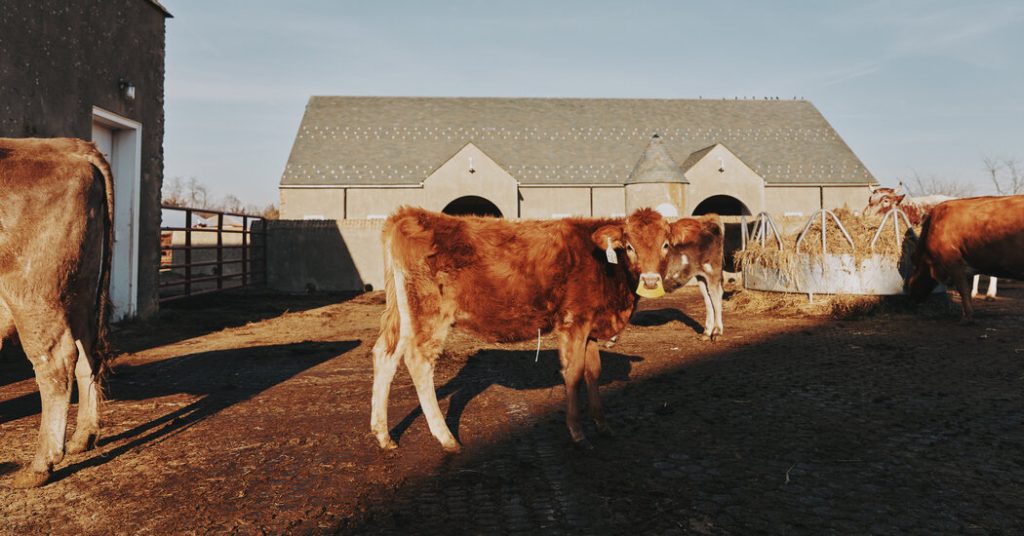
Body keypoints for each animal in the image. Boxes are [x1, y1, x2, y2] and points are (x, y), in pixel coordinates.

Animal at [0, 138, 113, 487]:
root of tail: (68, 145)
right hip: (79, 293)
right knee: (87, 354)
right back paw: (83, 437)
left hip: (33, 296)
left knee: (56, 363)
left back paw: (40, 465)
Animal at [370, 207, 695, 450]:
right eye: (629, 246)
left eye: (665, 244)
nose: (651, 282)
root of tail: (410, 214)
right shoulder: (573, 322)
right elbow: (574, 374)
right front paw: (577, 433)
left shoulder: (591, 325)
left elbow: (593, 372)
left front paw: (603, 425)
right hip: (429, 313)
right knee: (418, 361)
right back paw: (446, 438)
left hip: (405, 313)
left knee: (385, 354)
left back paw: (383, 435)